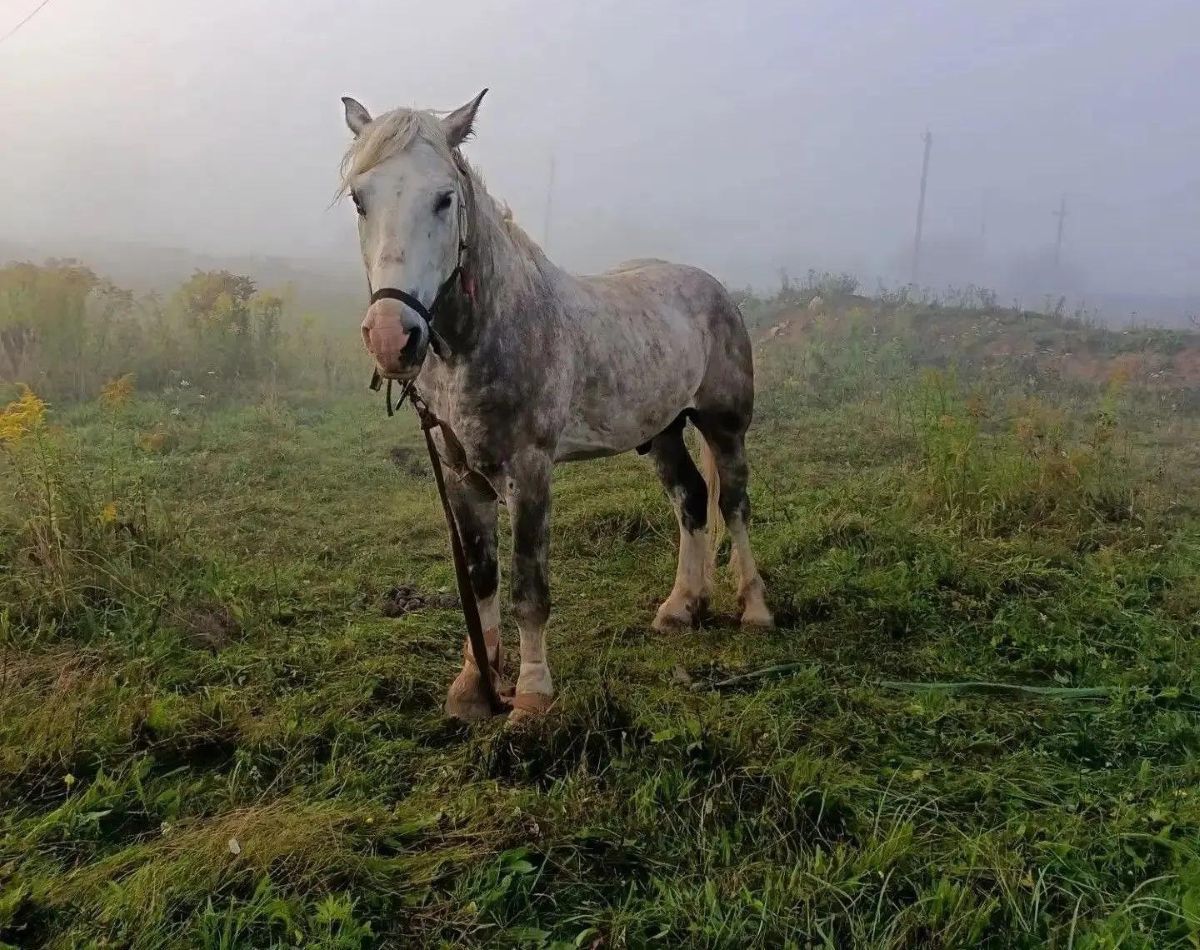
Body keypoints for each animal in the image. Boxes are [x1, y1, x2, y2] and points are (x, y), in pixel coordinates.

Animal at [339, 89, 773, 723]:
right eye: (359, 199)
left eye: (444, 198)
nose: (393, 338)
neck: (488, 332)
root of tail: (713, 288)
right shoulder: (462, 475)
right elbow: (482, 580)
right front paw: (475, 687)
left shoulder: (530, 470)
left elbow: (528, 588)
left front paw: (531, 695)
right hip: (663, 430)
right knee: (692, 501)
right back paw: (680, 609)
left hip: (724, 425)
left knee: (734, 505)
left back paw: (755, 611)